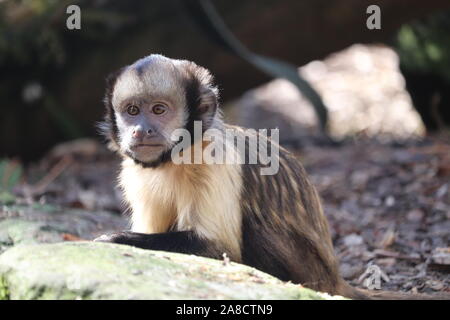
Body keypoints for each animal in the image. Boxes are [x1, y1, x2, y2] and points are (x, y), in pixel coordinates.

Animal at [95, 54, 446, 300]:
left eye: (158, 110)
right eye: (132, 111)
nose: (141, 130)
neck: (178, 156)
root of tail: (334, 279)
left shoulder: (214, 160)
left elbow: (219, 249)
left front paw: (118, 239)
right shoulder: (136, 172)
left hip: (309, 270)